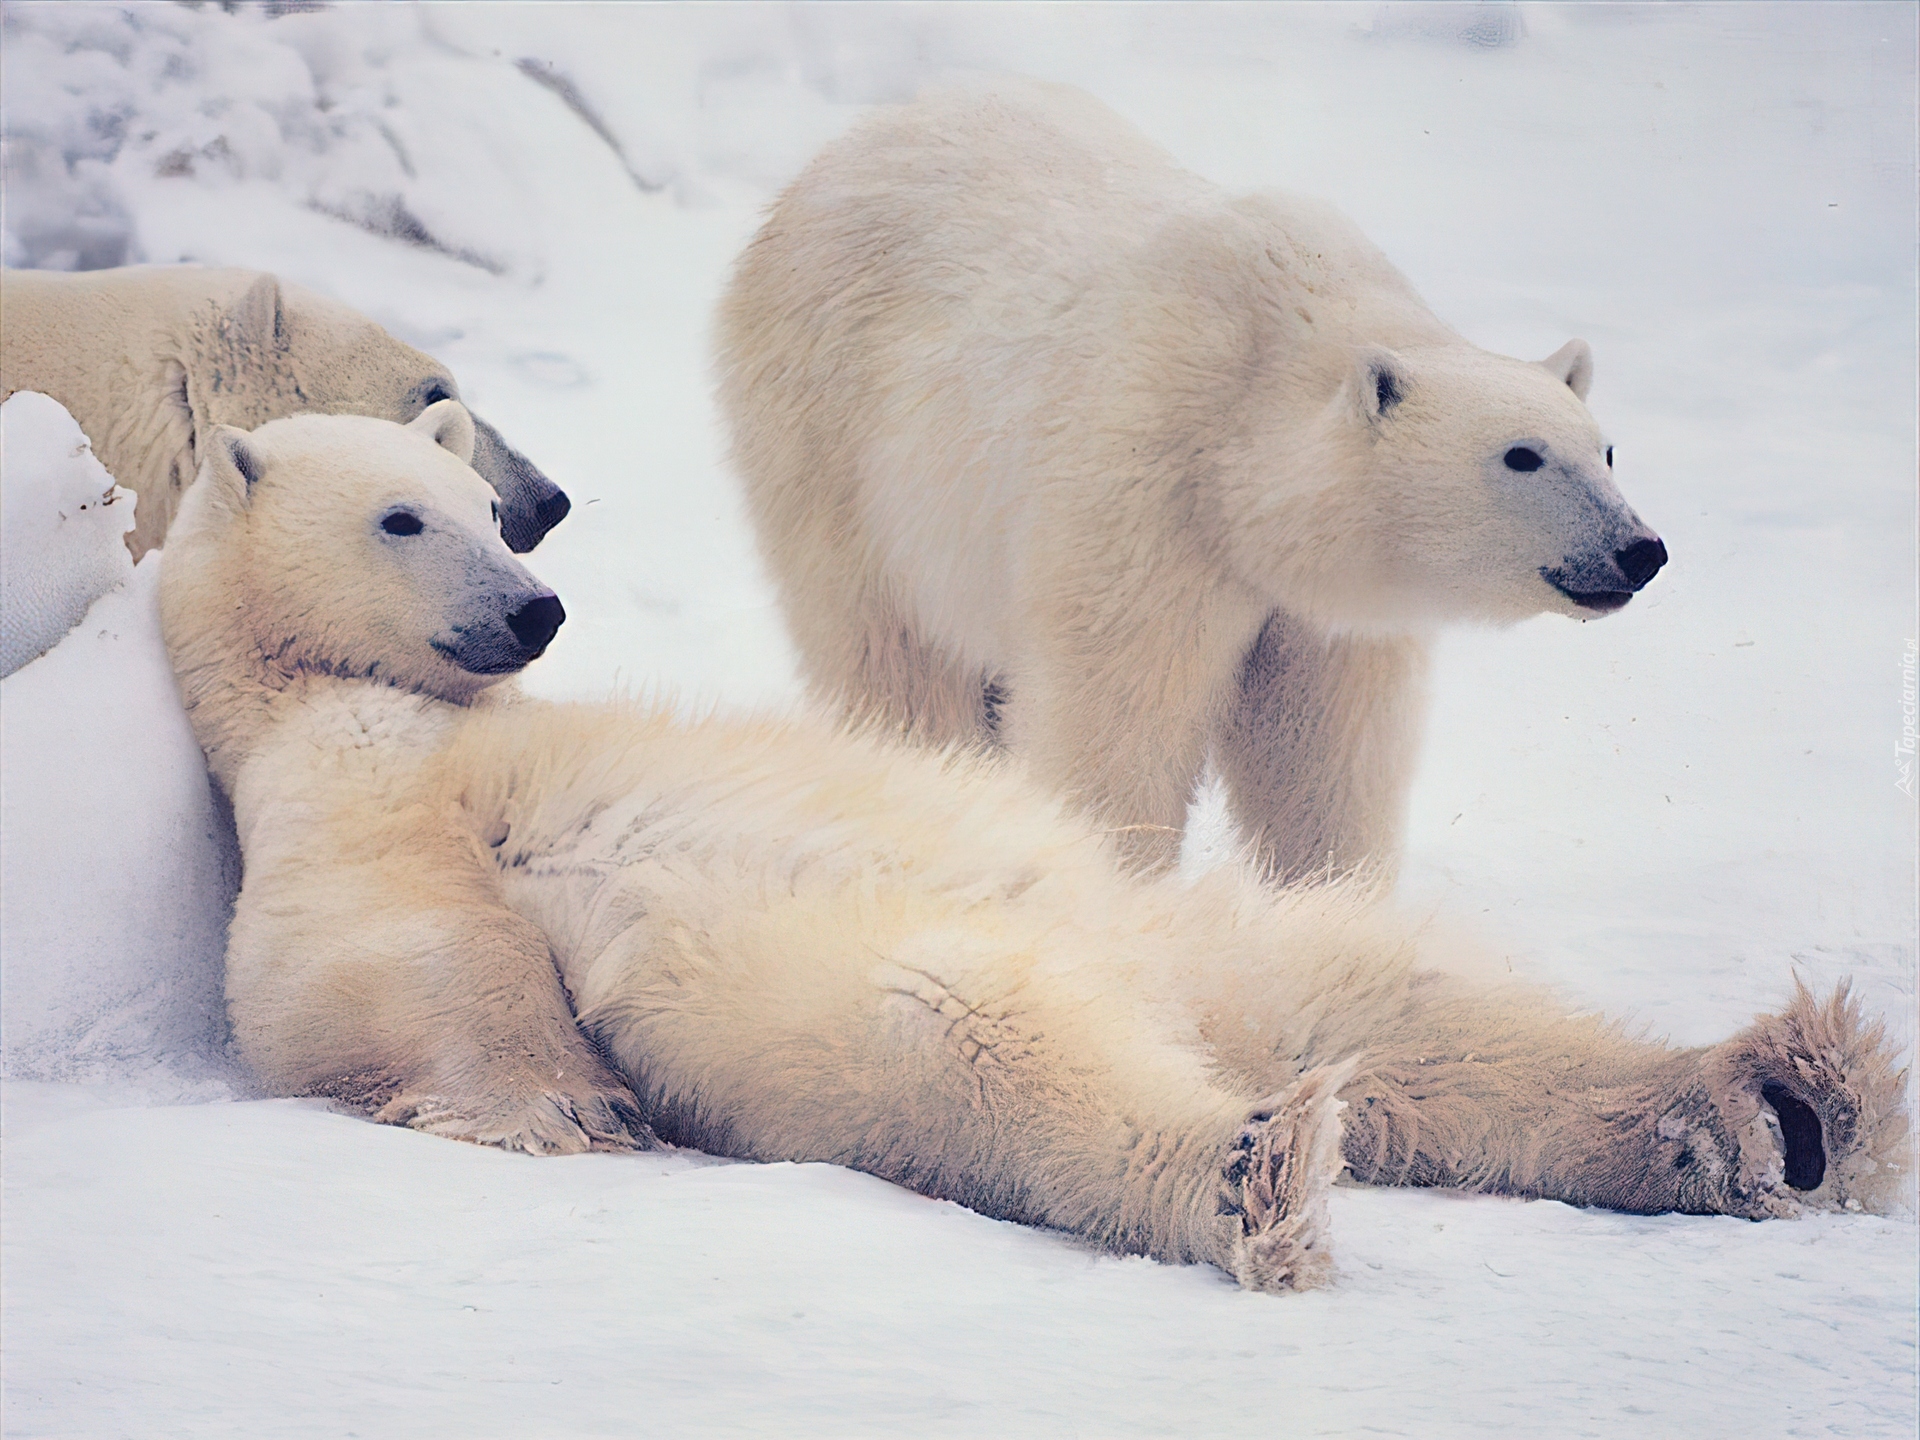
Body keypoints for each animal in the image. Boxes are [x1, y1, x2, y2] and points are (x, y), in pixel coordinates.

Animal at [157, 403, 1896, 1297]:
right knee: (975, 1039)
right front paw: (565, 1108)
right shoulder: (337, 803)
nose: (533, 609)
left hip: (1187, 933)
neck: (367, 701)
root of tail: (1174, 1009)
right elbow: (378, 965)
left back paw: (1781, 1106)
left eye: (486, 511)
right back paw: (1258, 1167)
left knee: (1394, 1004)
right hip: (888, 983)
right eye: (404, 517)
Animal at [718, 84, 1666, 887]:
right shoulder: (1147, 489)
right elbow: (1120, 718)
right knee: (892, 660)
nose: (1640, 549)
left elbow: (1324, 751)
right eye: (1521, 455)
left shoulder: (1326, 611)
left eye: (1606, 451)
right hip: (838, 446)